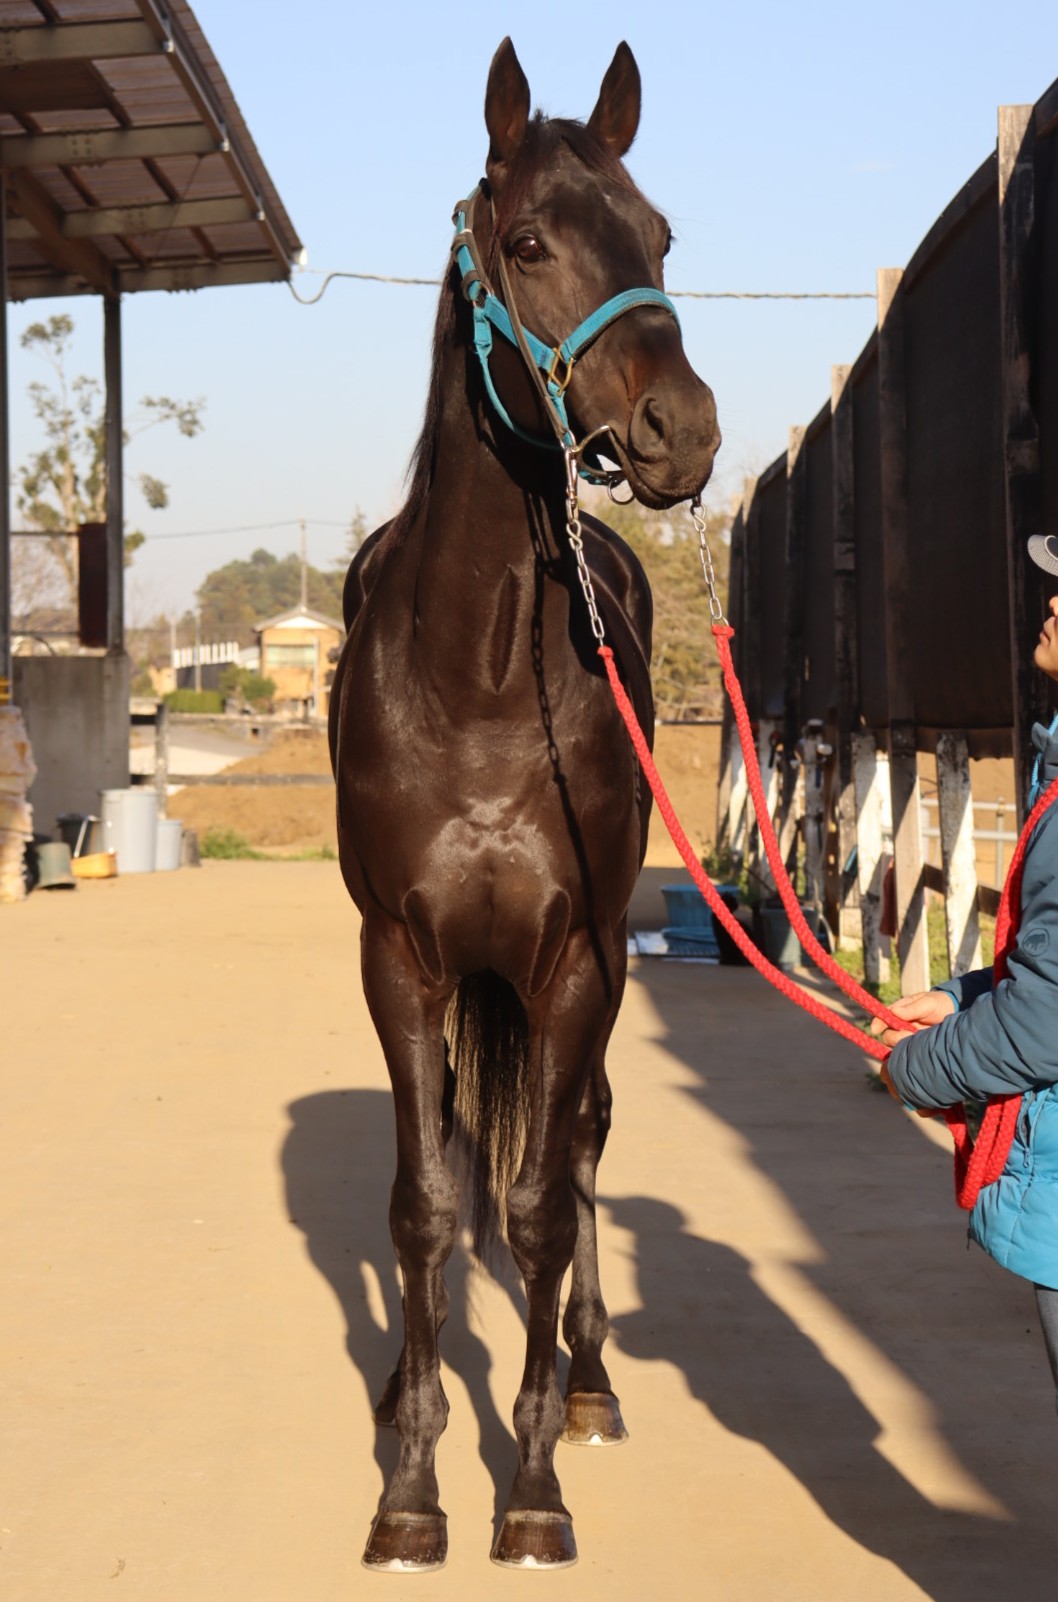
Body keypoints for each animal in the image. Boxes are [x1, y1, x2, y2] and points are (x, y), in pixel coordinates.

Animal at [329, 37, 720, 1572]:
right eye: (533, 241)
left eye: (659, 236)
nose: (683, 431)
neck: (480, 680)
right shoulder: (402, 959)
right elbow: (425, 1206)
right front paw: (409, 1490)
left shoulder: (573, 963)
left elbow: (545, 1203)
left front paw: (533, 1486)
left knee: (586, 1141)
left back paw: (593, 1379)